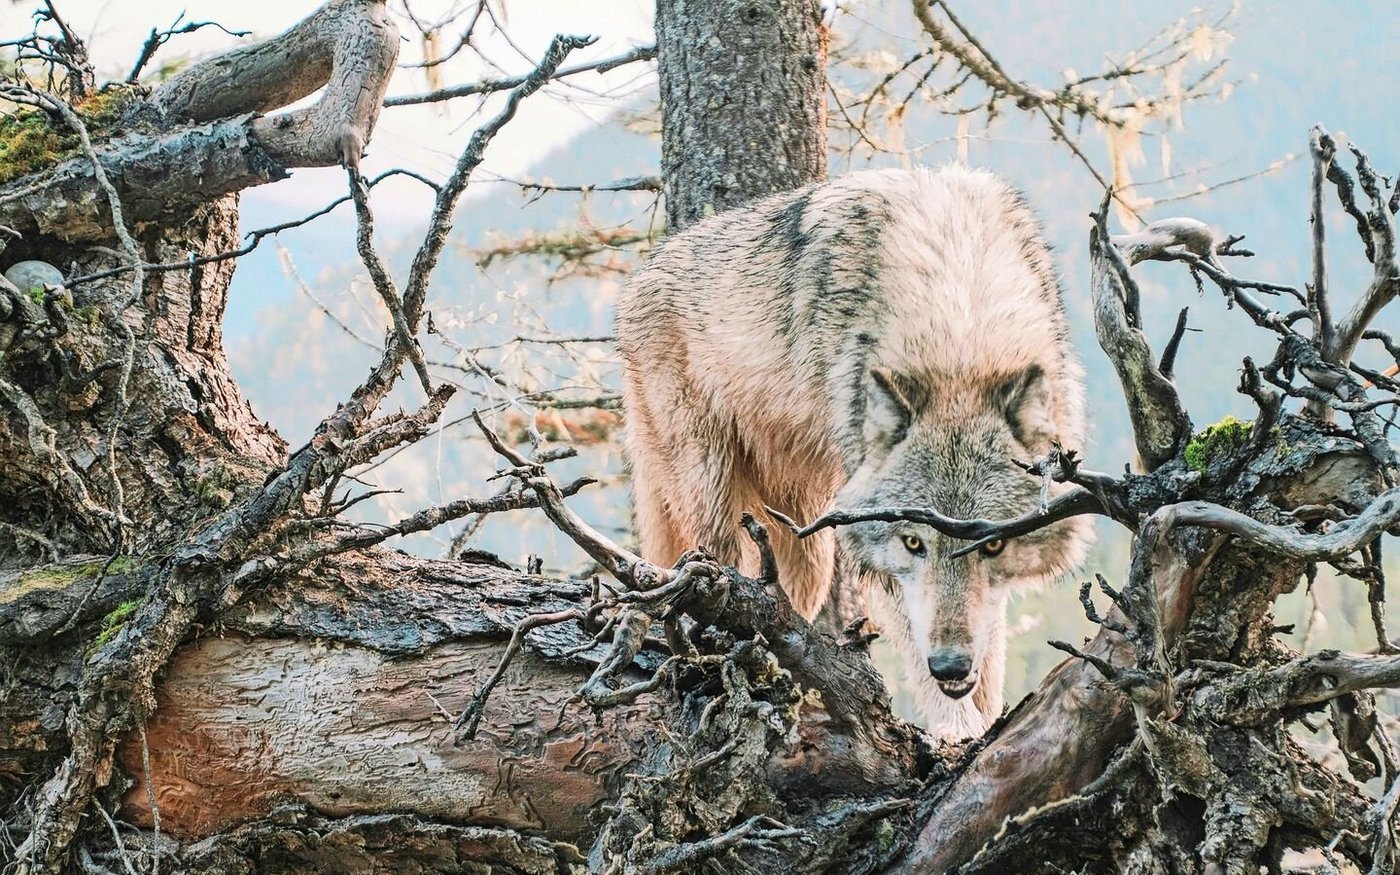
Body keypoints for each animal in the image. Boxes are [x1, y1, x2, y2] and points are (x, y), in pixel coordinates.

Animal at [616, 165, 1091, 738]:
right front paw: (957, 733)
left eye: (992, 545)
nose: (951, 666)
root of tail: (639, 277)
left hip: (805, 545)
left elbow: (991, 644)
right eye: (913, 543)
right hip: (716, 504)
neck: (959, 321)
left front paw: (987, 720)